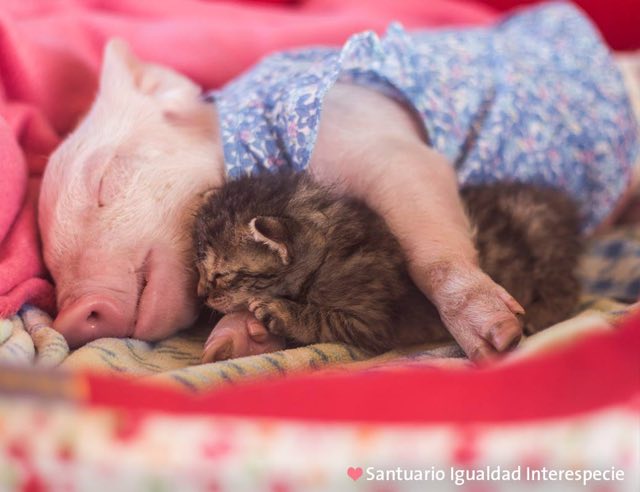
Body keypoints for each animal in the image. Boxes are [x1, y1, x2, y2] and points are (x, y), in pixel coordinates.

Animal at [192, 172, 584, 354]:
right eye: (198, 271)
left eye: (221, 275)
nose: (200, 295)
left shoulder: (370, 321)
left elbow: (321, 319)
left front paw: (281, 312)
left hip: (540, 239)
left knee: (565, 289)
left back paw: (540, 313)